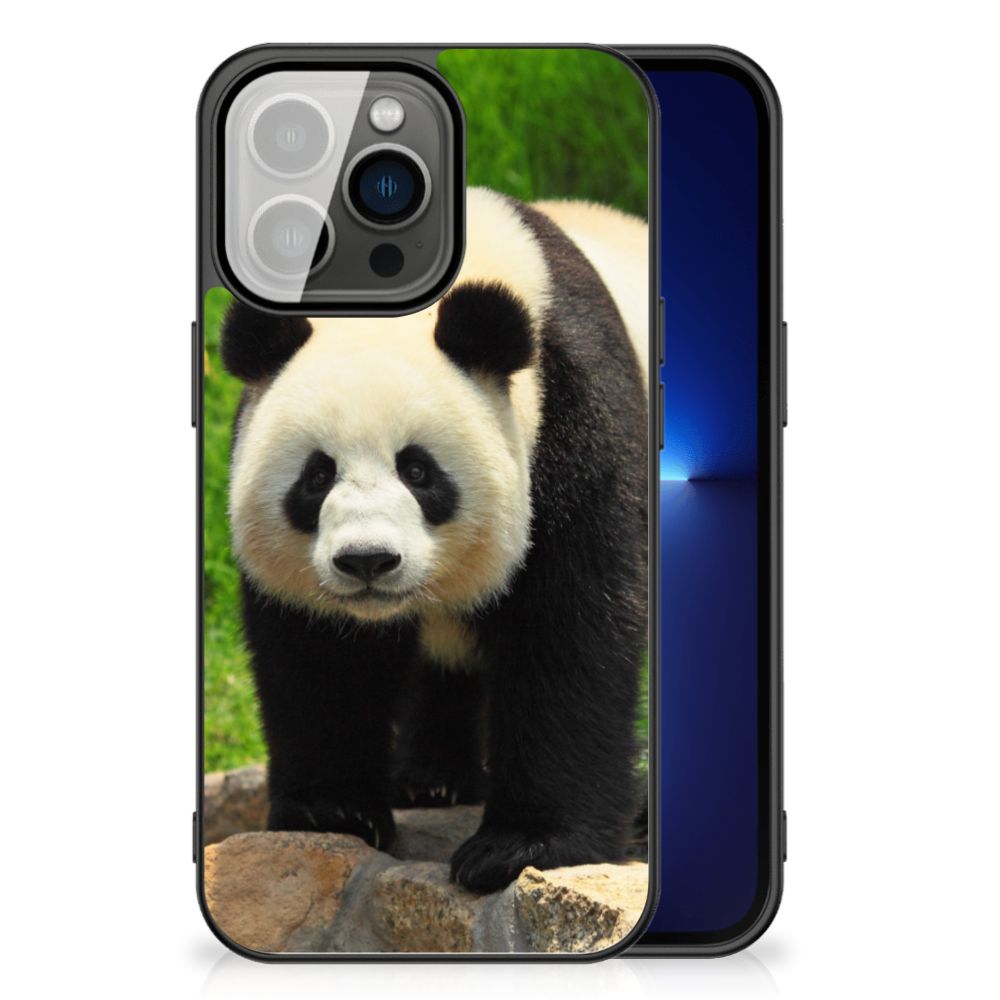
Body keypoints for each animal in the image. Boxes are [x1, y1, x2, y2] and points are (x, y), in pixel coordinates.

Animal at [220, 187, 648, 893]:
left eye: (418, 471)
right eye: (317, 475)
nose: (367, 561)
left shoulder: (575, 420)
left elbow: (570, 631)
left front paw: (521, 846)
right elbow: (320, 655)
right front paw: (332, 811)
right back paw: (431, 780)